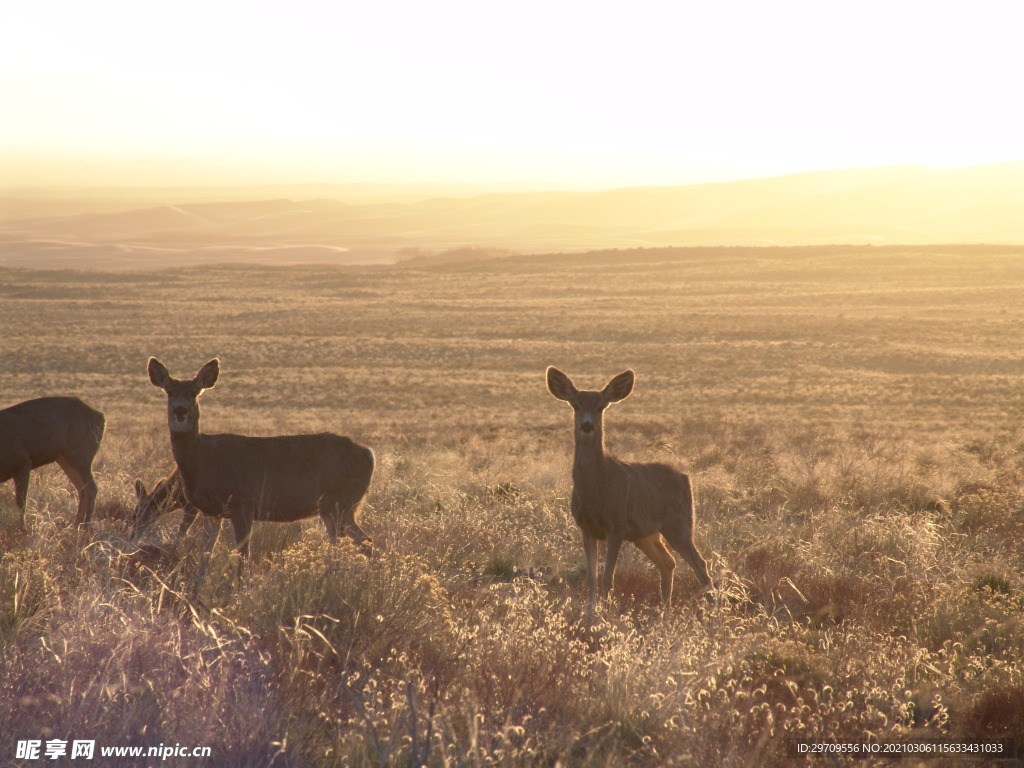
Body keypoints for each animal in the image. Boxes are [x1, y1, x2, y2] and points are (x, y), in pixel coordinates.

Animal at [0, 397, 105, 528]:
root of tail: (100, 417)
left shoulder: (22, 462)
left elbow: (21, 501)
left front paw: (22, 528)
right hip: (65, 458)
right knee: (82, 489)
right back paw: (76, 524)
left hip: (81, 455)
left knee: (91, 488)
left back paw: (85, 526)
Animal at [148, 358, 376, 573]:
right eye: (169, 391)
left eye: (195, 392)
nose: (180, 410)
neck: (204, 460)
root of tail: (370, 454)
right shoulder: (211, 511)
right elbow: (205, 557)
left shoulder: (242, 503)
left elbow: (243, 558)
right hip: (340, 507)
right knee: (366, 544)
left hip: (338, 503)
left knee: (353, 545)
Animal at [544, 368, 712, 618]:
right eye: (575, 405)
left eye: (601, 406)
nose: (587, 426)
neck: (595, 490)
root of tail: (686, 478)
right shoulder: (586, 527)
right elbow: (592, 578)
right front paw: (591, 611)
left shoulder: (617, 524)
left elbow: (608, 578)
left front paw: (604, 613)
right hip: (645, 534)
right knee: (668, 562)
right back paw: (665, 612)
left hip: (679, 524)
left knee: (700, 564)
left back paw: (714, 609)